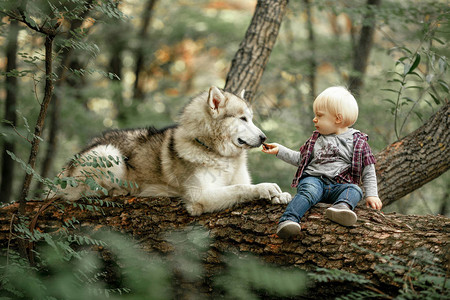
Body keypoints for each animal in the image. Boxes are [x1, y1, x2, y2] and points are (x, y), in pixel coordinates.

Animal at [57, 86, 292, 216]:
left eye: (251, 118)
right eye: (243, 119)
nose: (264, 138)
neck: (216, 153)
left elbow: (248, 186)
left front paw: (281, 196)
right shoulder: (200, 197)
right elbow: (240, 188)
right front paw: (265, 188)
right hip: (109, 154)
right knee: (87, 194)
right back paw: (120, 191)